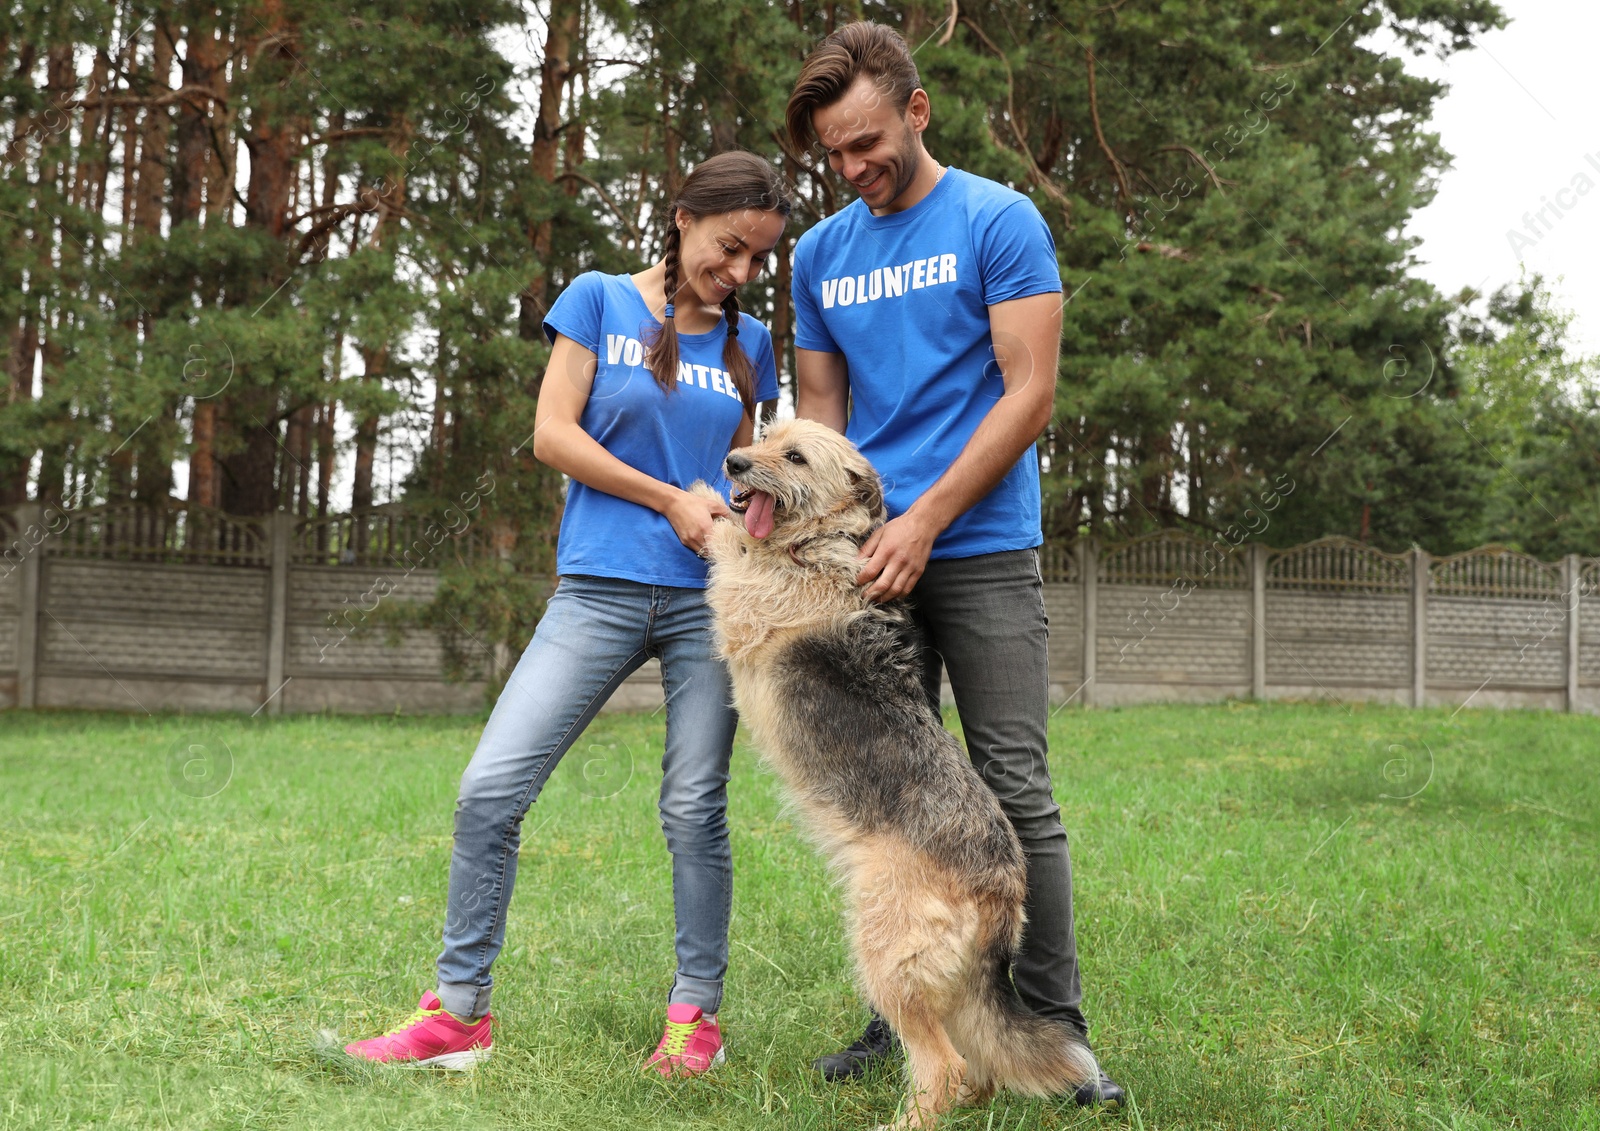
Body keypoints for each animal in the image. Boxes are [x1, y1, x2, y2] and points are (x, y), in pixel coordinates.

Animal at [694, 419, 1094, 1126]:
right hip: (947, 986)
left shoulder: (745, 599)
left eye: (794, 456)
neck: (820, 542)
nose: (734, 462)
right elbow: (738, 536)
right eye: (768, 433)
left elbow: (731, 544)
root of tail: (1004, 887)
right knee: (978, 1067)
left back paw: (905, 1120)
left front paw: (698, 500)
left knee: (944, 1065)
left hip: (887, 956)